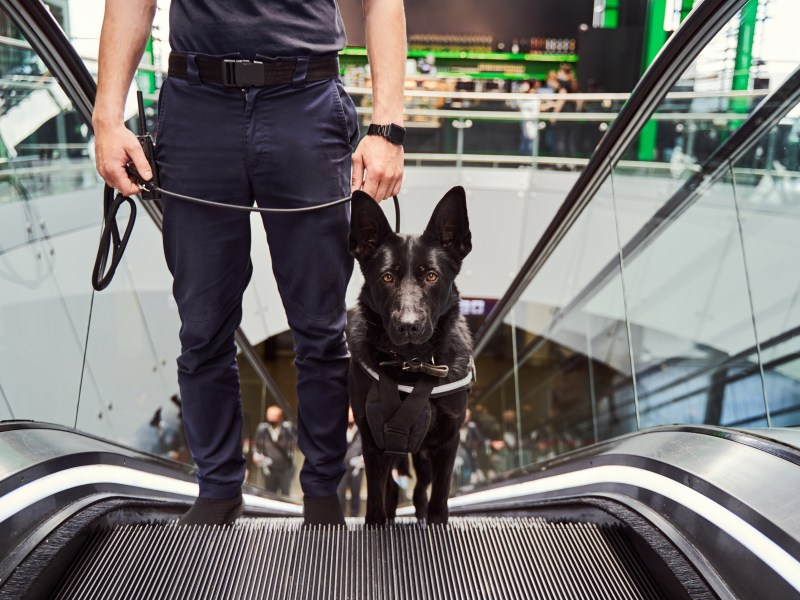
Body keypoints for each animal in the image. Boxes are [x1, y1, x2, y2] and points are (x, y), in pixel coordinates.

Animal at [346, 184, 472, 524]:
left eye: (431, 276)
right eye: (387, 277)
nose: (408, 326)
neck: (412, 363)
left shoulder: (448, 440)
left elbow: (440, 497)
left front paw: (436, 523)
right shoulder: (373, 442)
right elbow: (376, 498)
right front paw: (377, 524)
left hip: (424, 457)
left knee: (419, 491)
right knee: (392, 489)